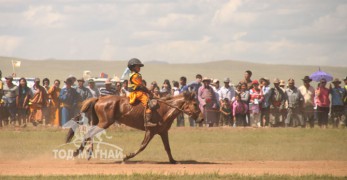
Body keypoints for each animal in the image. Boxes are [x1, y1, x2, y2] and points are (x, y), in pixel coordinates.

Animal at [66, 90, 201, 164]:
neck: (165, 109)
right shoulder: (150, 131)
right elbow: (142, 146)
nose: (201, 119)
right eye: (195, 104)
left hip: (99, 122)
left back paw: (87, 152)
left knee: (90, 134)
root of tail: (99, 98)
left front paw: (173, 161)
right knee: (89, 134)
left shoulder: (163, 132)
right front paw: (127, 156)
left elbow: (168, 148)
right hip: (104, 123)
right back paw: (79, 152)